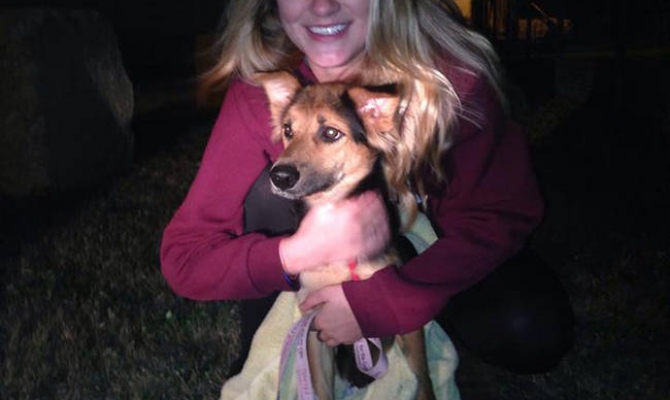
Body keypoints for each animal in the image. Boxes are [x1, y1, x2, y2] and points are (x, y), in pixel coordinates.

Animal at [256, 71, 436, 400]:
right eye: (288, 130)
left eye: (330, 133)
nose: (279, 176)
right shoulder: (316, 326)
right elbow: (320, 387)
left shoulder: (396, 314)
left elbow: (422, 377)